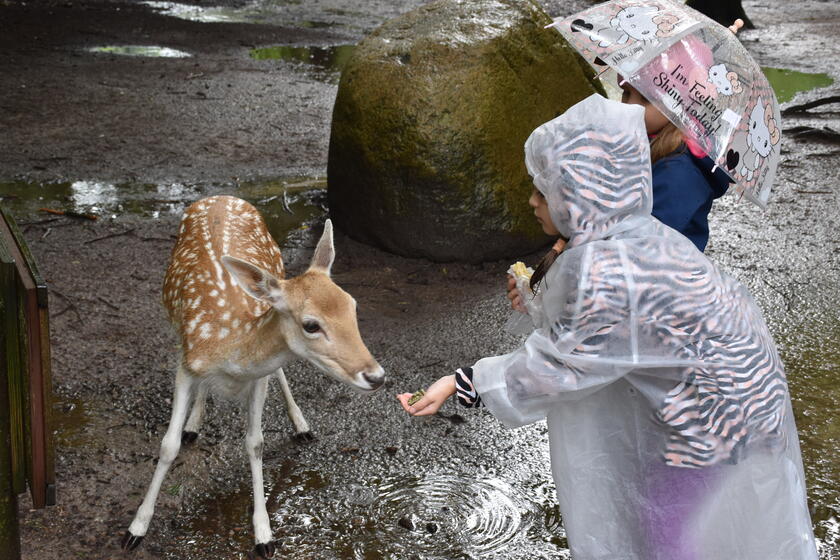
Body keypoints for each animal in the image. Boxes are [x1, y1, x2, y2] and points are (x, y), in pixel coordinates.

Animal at [121, 195, 385, 558]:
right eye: (311, 324)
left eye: (353, 306)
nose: (376, 376)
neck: (230, 350)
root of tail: (222, 197)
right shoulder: (187, 363)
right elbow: (168, 445)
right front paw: (136, 528)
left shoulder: (260, 376)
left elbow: (255, 443)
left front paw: (263, 534)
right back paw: (194, 423)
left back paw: (301, 425)